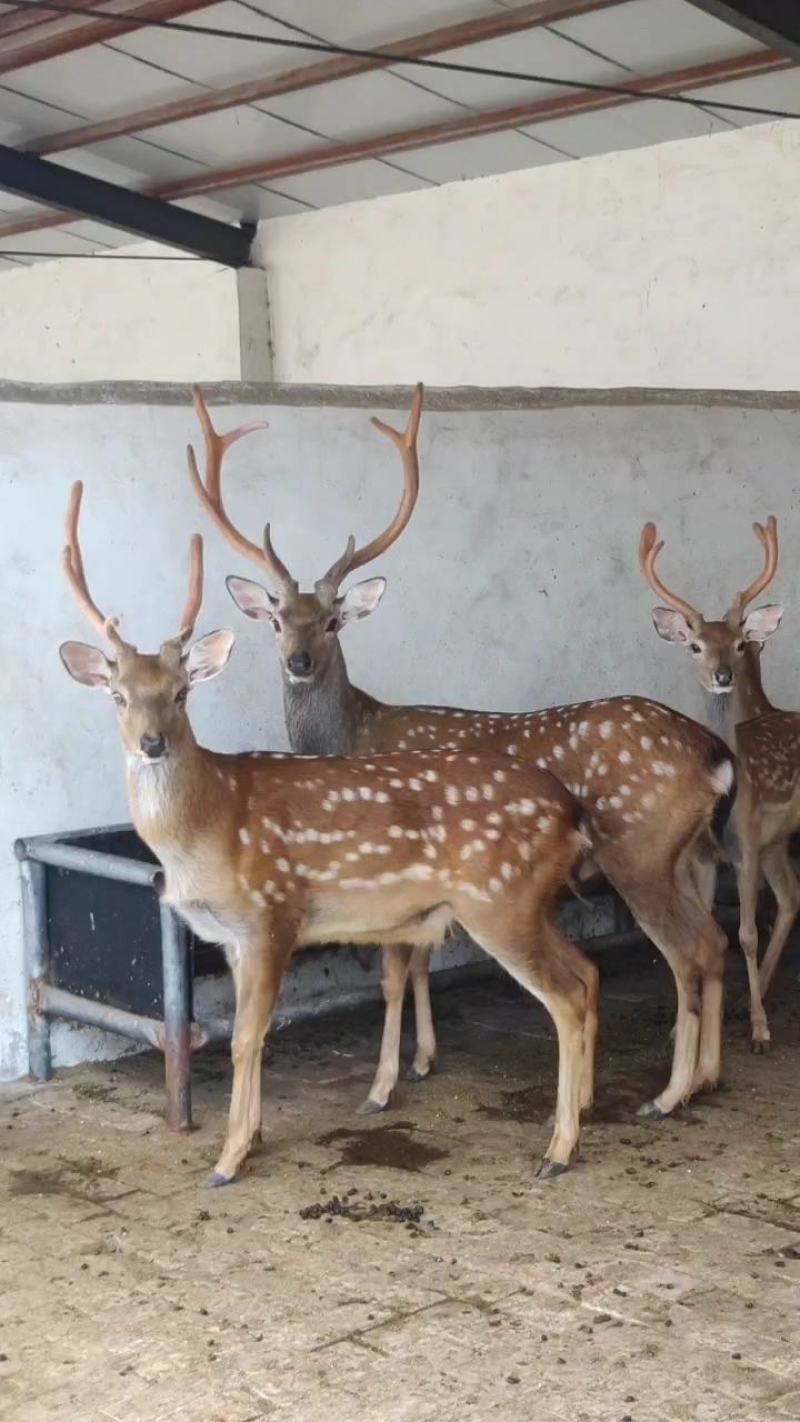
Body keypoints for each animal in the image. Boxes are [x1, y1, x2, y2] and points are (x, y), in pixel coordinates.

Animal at [58, 480, 602, 1185]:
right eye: (118, 696)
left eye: (181, 693)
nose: (152, 743)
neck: (210, 826)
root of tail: (570, 809)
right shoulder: (233, 940)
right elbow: (251, 1036)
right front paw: (255, 1136)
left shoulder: (272, 913)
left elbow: (246, 1039)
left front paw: (228, 1158)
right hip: (531, 901)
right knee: (587, 973)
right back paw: (580, 1113)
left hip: (500, 899)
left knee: (564, 995)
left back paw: (558, 1150)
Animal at [187, 389, 737, 1124]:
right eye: (276, 620)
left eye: (332, 620)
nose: (299, 662)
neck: (357, 730)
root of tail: (712, 751)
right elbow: (421, 962)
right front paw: (424, 1058)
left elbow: (394, 976)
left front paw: (382, 1086)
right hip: (687, 852)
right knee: (714, 940)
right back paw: (705, 1076)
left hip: (639, 850)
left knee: (686, 950)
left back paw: (669, 1093)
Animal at [640, 516, 800, 1052]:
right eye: (695, 645)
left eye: (738, 642)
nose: (724, 675)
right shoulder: (704, 854)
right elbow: (711, 930)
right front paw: (679, 1025)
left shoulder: (746, 844)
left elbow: (746, 933)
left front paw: (760, 1030)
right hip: (776, 842)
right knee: (792, 898)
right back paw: (758, 991)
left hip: (769, 842)